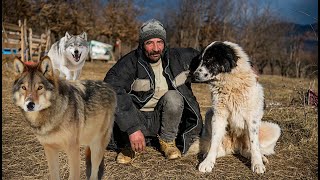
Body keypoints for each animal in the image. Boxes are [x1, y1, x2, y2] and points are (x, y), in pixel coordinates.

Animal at [191, 41, 282, 174]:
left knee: (250, 148)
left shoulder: (252, 119)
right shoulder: (219, 115)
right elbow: (214, 140)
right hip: (209, 114)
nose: (194, 75)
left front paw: (257, 164)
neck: (230, 83)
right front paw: (208, 162)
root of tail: (235, 147)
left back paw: (261, 158)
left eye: (209, 60)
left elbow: (254, 144)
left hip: (275, 128)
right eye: (200, 60)